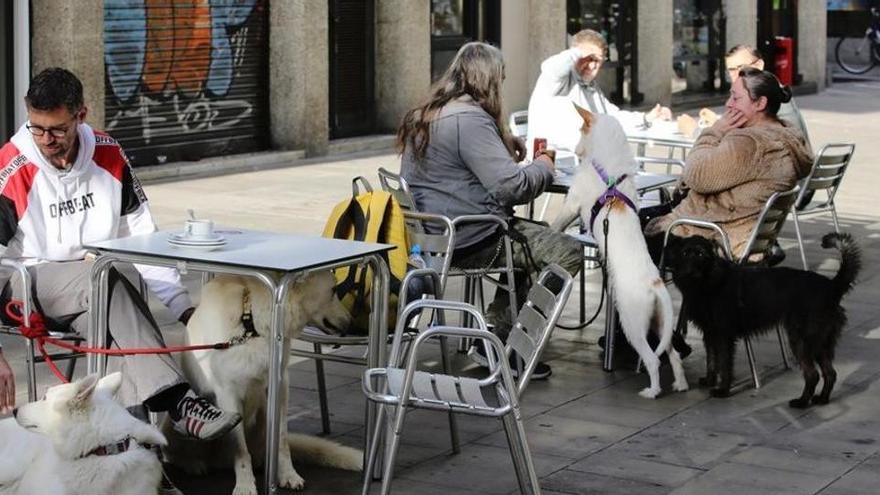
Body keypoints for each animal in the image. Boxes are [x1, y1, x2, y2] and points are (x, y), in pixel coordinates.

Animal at [163, 274, 360, 494]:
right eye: (333, 290)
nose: (352, 324)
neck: (250, 324)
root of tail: (219, 462)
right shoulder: (228, 395)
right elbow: (240, 450)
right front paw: (245, 485)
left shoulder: (280, 386)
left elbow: (282, 440)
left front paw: (288, 474)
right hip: (174, 422)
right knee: (179, 453)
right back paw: (194, 464)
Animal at [552, 103, 688, 400]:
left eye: (580, 129)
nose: (575, 151)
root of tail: (656, 285)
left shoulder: (572, 203)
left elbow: (559, 220)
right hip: (660, 323)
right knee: (673, 355)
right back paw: (680, 384)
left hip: (632, 323)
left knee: (653, 359)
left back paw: (653, 390)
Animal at [668, 234, 860, 408]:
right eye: (685, 253)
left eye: (701, 254)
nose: (688, 272)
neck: (709, 280)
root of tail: (832, 286)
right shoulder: (710, 334)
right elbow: (711, 361)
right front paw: (710, 380)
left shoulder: (723, 336)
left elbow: (724, 363)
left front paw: (723, 390)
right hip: (820, 344)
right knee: (830, 373)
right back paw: (822, 399)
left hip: (801, 341)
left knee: (813, 375)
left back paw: (802, 402)